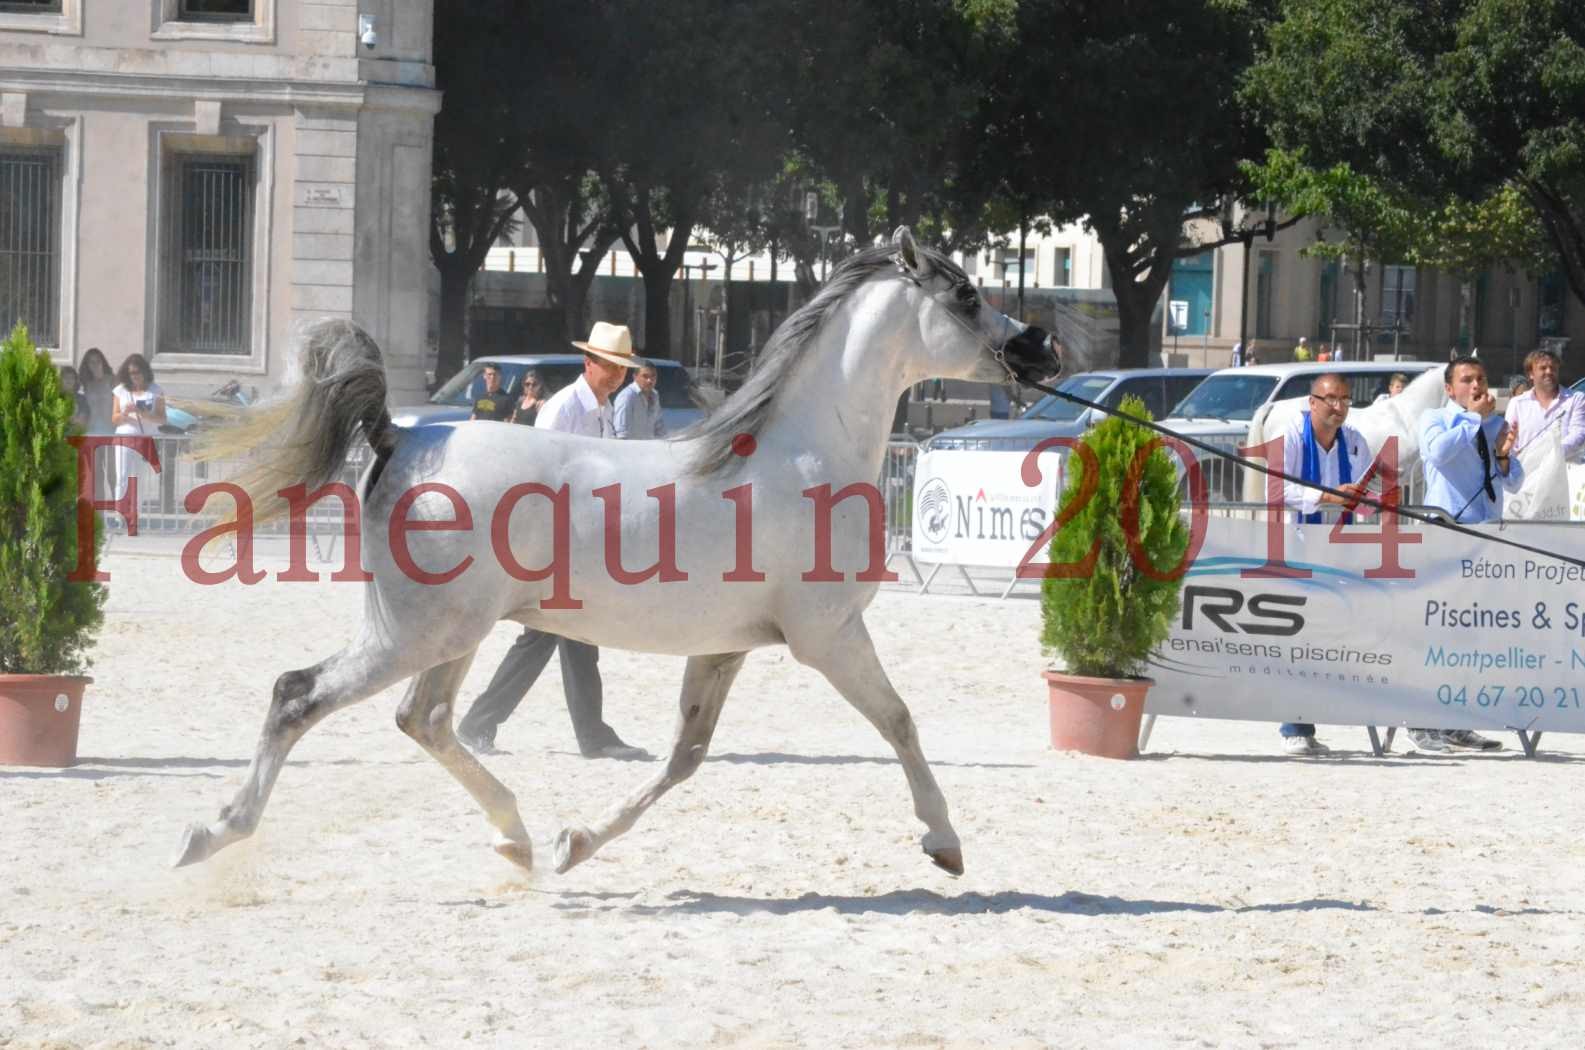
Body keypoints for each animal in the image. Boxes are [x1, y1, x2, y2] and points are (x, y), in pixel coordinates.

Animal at [173, 228, 1065, 881]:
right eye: (966, 294)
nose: (1042, 351)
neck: (804, 455)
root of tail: (403, 436)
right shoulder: (829, 637)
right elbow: (899, 722)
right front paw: (944, 842)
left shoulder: (726, 647)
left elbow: (684, 759)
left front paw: (576, 843)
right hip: (415, 633)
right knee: (299, 695)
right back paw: (213, 832)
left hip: (449, 635)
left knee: (423, 720)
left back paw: (517, 835)